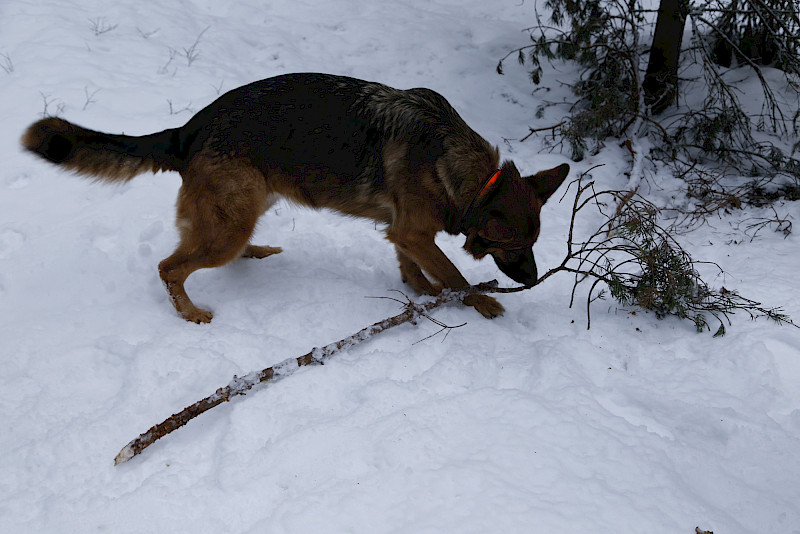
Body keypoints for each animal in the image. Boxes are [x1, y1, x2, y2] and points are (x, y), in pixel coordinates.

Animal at [20, 70, 568, 322]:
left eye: (534, 243)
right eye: (516, 247)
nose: (533, 280)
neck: (469, 175)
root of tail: (190, 128)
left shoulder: (404, 232)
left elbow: (414, 268)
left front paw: (423, 293)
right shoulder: (415, 231)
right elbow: (454, 273)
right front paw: (480, 301)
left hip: (247, 206)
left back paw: (255, 253)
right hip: (228, 224)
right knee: (169, 267)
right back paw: (191, 313)